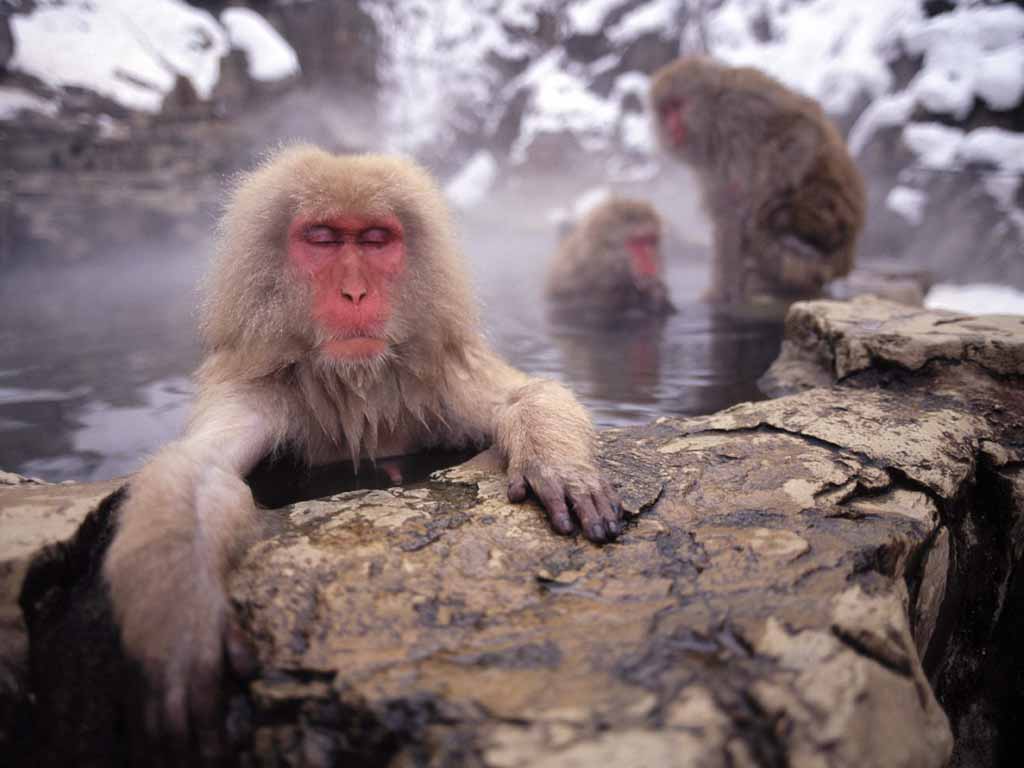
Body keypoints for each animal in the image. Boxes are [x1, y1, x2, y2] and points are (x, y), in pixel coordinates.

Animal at [101, 144, 622, 745]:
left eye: (375, 240)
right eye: (323, 239)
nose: (355, 292)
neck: (355, 385)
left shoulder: (440, 377)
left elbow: (524, 394)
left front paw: (558, 464)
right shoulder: (253, 391)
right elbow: (199, 472)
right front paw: (183, 622)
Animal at [647, 55, 864, 303]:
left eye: (677, 106)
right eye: (664, 111)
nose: (669, 126)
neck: (713, 116)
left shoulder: (740, 108)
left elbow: (799, 126)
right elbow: (723, 206)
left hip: (824, 220)